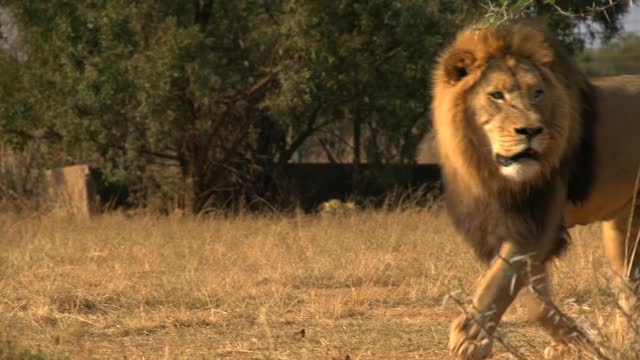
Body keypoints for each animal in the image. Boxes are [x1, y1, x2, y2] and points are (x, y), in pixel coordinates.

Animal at [430, 20, 640, 360]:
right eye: (496, 95)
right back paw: (623, 338)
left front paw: (470, 339)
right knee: (630, 280)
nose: (531, 130)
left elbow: (499, 282)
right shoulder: (502, 223)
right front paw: (572, 342)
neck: (489, 171)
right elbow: (532, 297)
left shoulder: (536, 224)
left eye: (538, 93)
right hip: (622, 224)